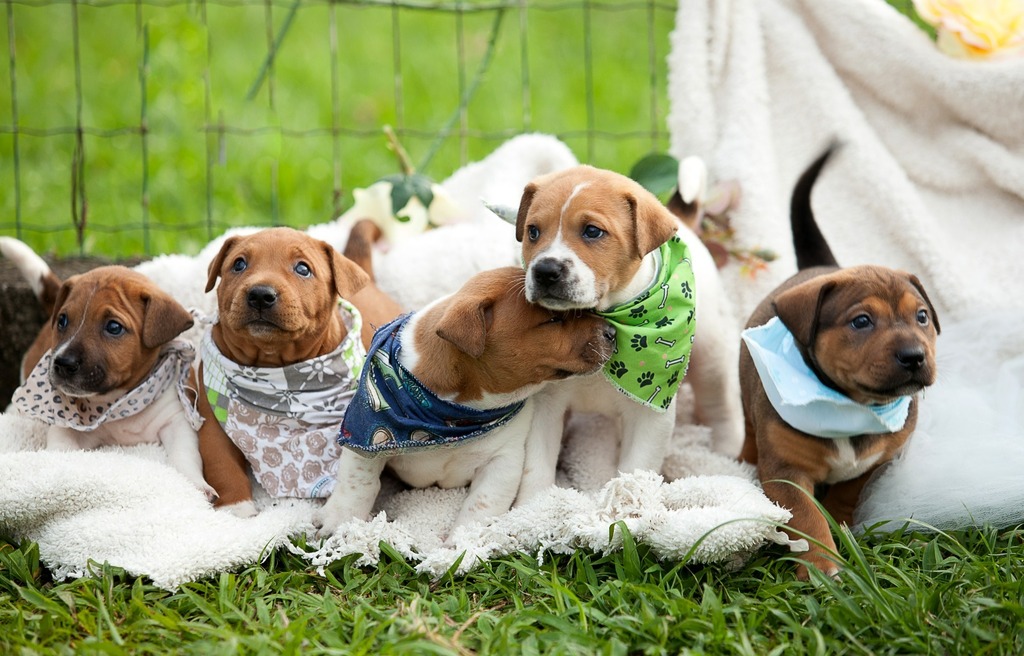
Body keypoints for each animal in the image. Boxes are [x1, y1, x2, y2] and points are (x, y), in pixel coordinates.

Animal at [1, 237, 214, 499]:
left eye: (114, 327)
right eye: (62, 321)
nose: (62, 362)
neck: (120, 400)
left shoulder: (177, 421)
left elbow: (186, 455)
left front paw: (197, 485)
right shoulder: (70, 428)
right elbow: (62, 445)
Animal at [195, 225, 399, 515]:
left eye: (303, 269)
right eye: (239, 264)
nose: (260, 294)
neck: (275, 366)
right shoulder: (212, 424)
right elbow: (223, 465)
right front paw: (237, 509)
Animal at [313, 266, 614, 536]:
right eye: (553, 320)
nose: (612, 332)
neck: (454, 415)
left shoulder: (503, 463)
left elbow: (480, 506)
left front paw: (460, 544)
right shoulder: (364, 438)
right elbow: (357, 483)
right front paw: (339, 521)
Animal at [512, 165, 745, 503]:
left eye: (592, 231)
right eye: (533, 232)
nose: (545, 271)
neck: (601, 317)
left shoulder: (650, 415)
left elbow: (636, 468)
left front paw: (628, 504)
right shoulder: (546, 406)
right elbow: (537, 465)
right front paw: (534, 507)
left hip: (710, 352)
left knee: (720, 402)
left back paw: (727, 451)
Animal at [741, 145, 937, 577]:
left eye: (922, 317)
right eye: (861, 321)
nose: (915, 356)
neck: (853, 406)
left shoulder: (880, 459)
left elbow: (849, 490)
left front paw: (841, 524)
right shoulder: (787, 473)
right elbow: (805, 517)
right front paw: (823, 567)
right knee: (747, 427)